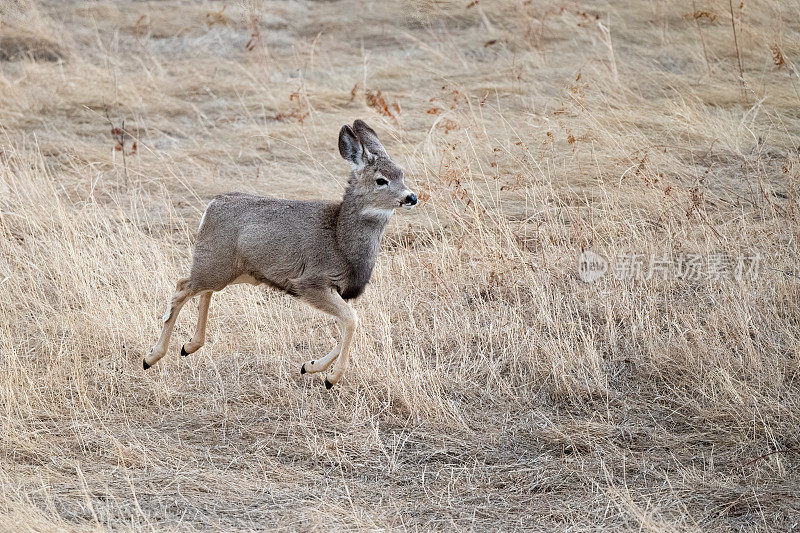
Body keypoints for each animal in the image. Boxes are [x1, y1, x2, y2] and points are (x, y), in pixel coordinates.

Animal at [144, 118, 418, 388]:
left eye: (402, 174)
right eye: (381, 180)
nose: (412, 197)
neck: (341, 241)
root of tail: (211, 206)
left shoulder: (337, 290)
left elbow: (345, 324)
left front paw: (311, 366)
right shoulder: (310, 282)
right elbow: (351, 319)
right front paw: (331, 377)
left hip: (227, 268)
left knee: (204, 291)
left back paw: (189, 346)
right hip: (216, 263)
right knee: (182, 287)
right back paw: (151, 357)